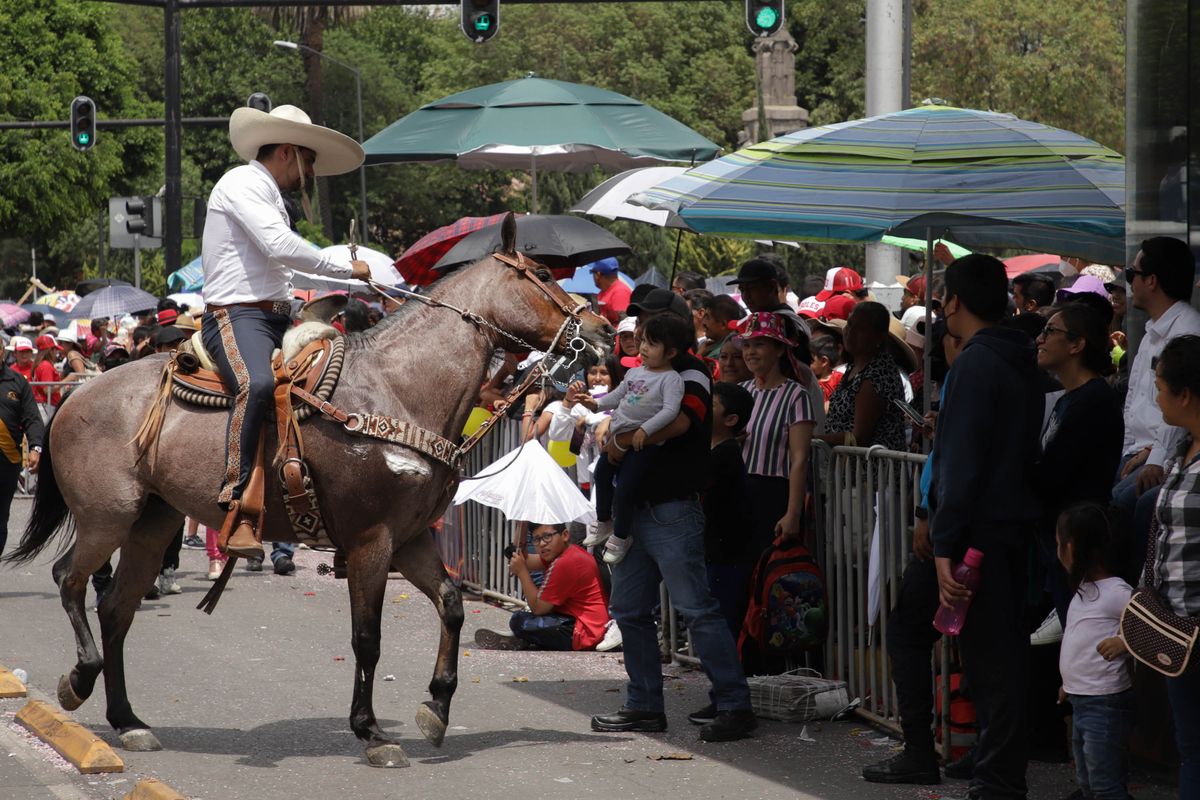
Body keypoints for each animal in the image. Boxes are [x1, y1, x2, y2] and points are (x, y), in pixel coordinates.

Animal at [4, 215, 614, 767]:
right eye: (542, 273)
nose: (603, 331)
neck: (398, 389)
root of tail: (75, 394)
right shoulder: (371, 540)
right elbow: (367, 636)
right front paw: (371, 731)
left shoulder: (412, 539)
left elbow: (452, 605)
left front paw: (437, 708)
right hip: (107, 517)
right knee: (69, 579)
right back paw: (79, 681)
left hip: (152, 525)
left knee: (115, 609)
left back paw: (128, 720)